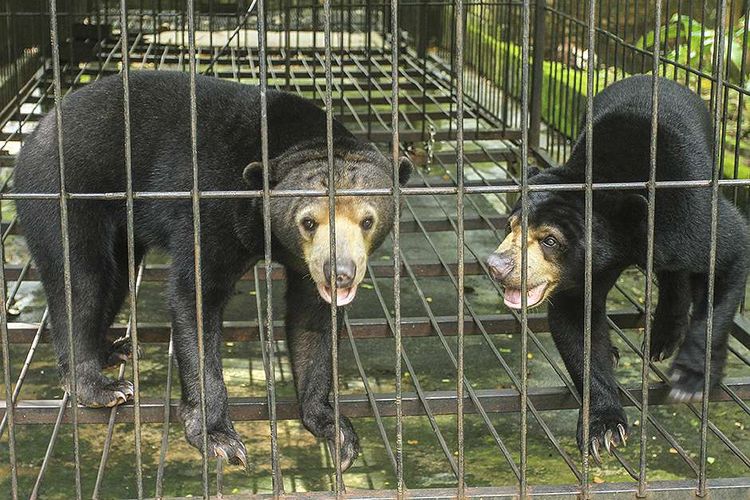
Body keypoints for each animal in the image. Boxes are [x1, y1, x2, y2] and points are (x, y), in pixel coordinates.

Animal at [13, 70, 412, 468]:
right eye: (308, 222)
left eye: (367, 220)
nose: (339, 273)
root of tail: (38, 130)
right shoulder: (212, 207)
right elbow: (195, 297)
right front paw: (217, 437)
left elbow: (312, 320)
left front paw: (333, 427)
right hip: (63, 191)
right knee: (83, 282)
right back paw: (99, 386)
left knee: (115, 279)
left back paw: (116, 350)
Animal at [488, 76, 750, 462]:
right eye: (512, 226)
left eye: (550, 240)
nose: (496, 266)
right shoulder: (582, 274)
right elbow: (578, 323)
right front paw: (603, 428)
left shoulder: (687, 214)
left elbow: (730, 252)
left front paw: (691, 378)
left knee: (677, 271)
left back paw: (663, 338)